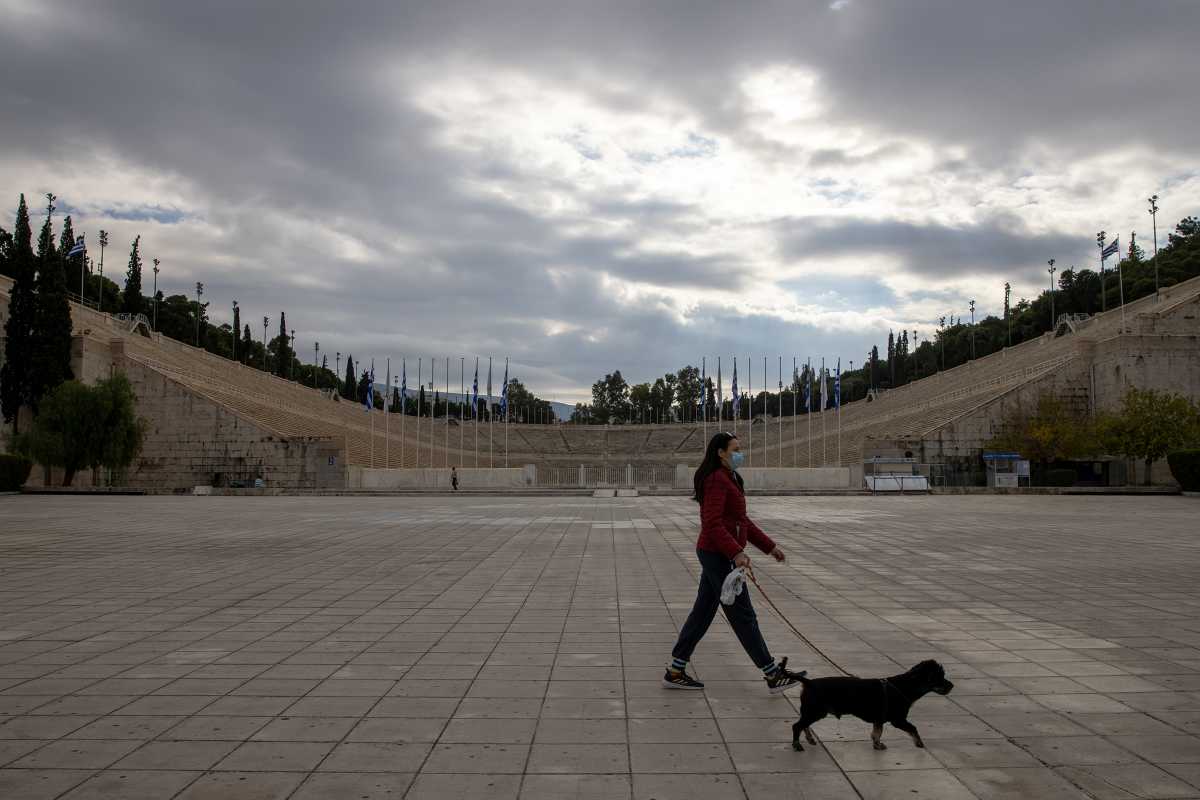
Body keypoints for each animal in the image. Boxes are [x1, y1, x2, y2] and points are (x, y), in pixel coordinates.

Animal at [792, 657, 950, 753]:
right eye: (939, 677)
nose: (952, 686)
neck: (904, 686)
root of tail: (808, 682)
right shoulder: (898, 720)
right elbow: (913, 728)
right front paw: (919, 743)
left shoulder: (879, 719)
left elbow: (876, 733)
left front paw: (877, 745)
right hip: (815, 711)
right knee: (797, 726)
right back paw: (797, 745)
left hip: (813, 711)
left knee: (804, 725)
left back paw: (810, 739)